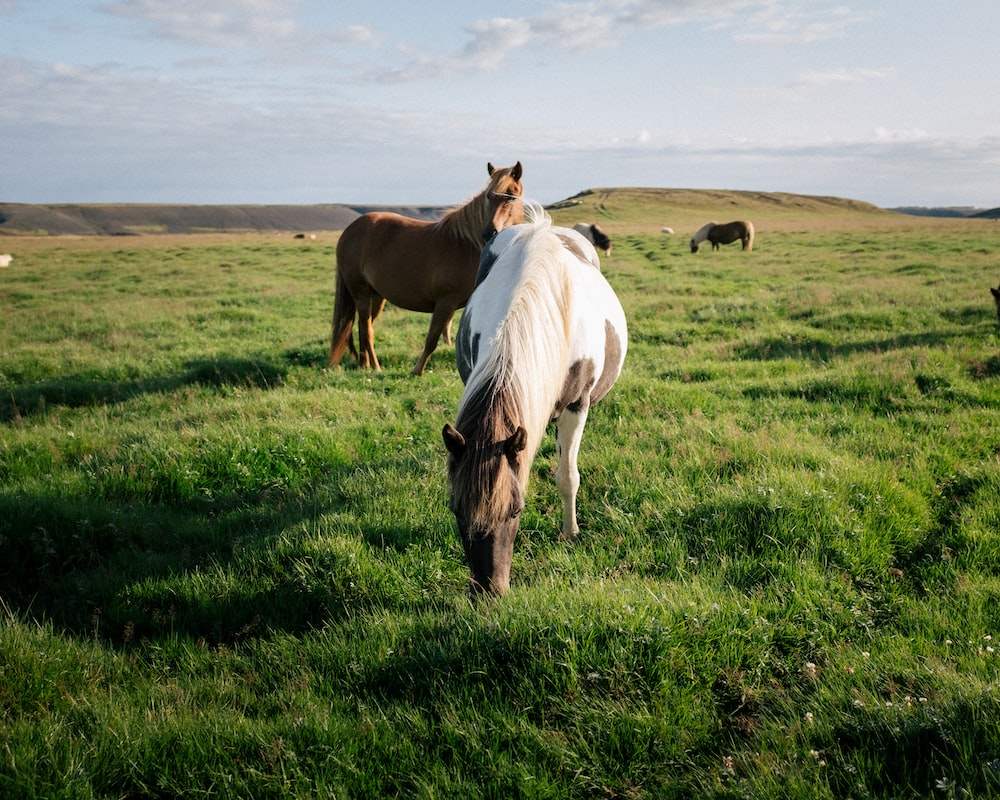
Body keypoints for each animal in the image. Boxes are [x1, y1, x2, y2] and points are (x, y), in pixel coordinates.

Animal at [330, 162, 532, 378]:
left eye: (511, 195)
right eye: (488, 196)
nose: (489, 232)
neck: (467, 246)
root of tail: (350, 230)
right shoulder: (445, 302)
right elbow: (433, 338)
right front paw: (417, 371)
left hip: (375, 296)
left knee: (364, 327)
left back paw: (364, 364)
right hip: (360, 293)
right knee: (366, 329)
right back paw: (375, 366)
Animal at [444, 206, 628, 592]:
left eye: (516, 510)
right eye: (456, 509)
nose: (489, 590)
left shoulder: (576, 406)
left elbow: (567, 475)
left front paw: (570, 533)